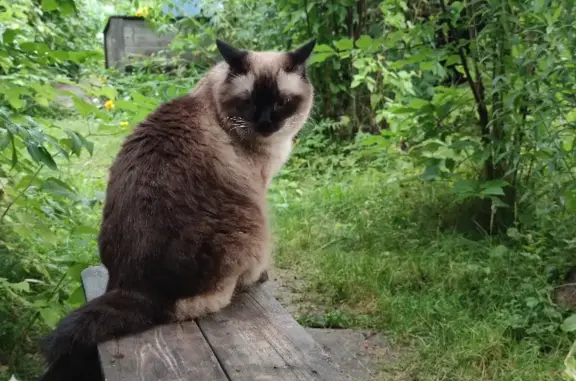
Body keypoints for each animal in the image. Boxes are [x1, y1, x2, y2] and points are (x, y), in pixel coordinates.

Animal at [38, 36, 318, 380]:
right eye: (250, 102)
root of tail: (134, 288)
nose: (265, 123)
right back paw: (253, 280)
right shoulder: (261, 185)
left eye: (280, 102)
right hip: (254, 229)